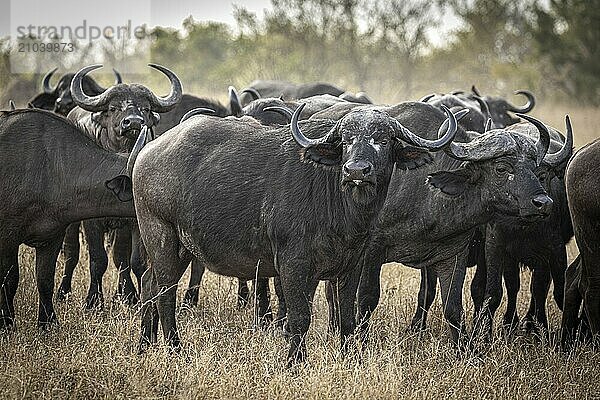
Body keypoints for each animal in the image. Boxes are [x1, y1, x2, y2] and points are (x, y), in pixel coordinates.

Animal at [0, 109, 142, 328]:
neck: (48, 168)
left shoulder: (53, 237)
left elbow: (45, 279)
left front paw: (48, 322)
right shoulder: (8, 237)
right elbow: (10, 279)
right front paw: (7, 322)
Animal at [57, 63, 182, 310]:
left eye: (145, 108)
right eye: (114, 108)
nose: (133, 122)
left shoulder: (131, 221)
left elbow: (129, 259)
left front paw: (131, 296)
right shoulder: (91, 222)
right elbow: (98, 258)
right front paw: (93, 300)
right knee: (71, 252)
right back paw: (63, 291)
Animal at [117, 102, 460, 366]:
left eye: (384, 140)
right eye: (346, 141)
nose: (356, 170)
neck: (340, 206)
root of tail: (148, 152)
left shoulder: (352, 265)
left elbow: (347, 318)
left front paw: (352, 359)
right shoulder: (293, 265)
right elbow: (299, 318)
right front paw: (295, 363)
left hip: (179, 248)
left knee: (148, 284)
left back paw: (145, 344)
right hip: (161, 236)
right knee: (164, 293)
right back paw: (175, 350)